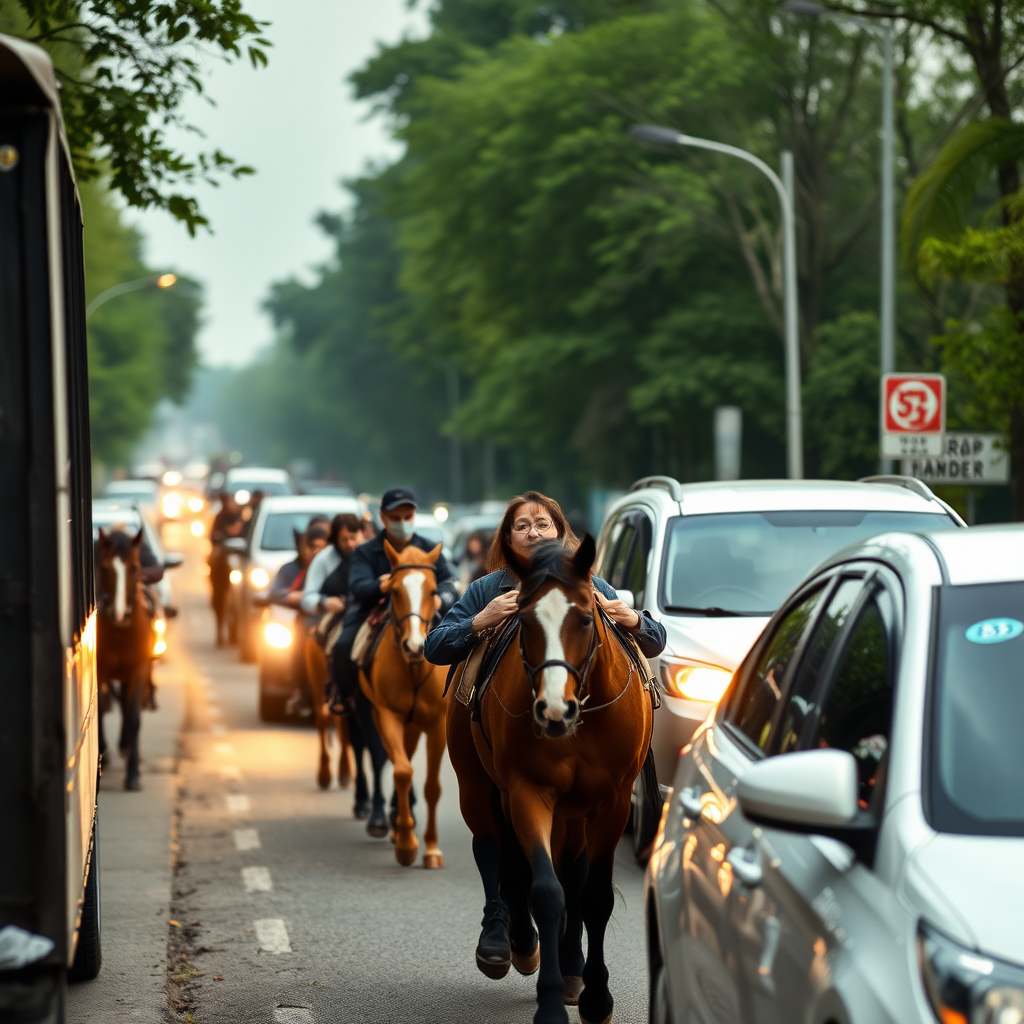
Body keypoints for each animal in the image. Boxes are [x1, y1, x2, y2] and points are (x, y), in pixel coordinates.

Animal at [360, 540, 448, 868]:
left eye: (433, 591)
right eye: (394, 591)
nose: (414, 646)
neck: (413, 667)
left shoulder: (437, 725)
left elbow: (432, 787)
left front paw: (431, 848)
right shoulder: (387, 715)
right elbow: (402, 772)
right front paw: (407, 845)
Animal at [448, 536, 655, 1024]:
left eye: (585, 618)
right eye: (524, 620)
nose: (554, 710)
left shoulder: (614, 802)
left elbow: (593, 894)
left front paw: (596, 997)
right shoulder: (527, 791)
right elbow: (545, 889)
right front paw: (550, 1002)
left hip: (575, 810)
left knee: (572, 872)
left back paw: (572, 966)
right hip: (477, 785)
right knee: (495, 848)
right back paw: (509, 943)